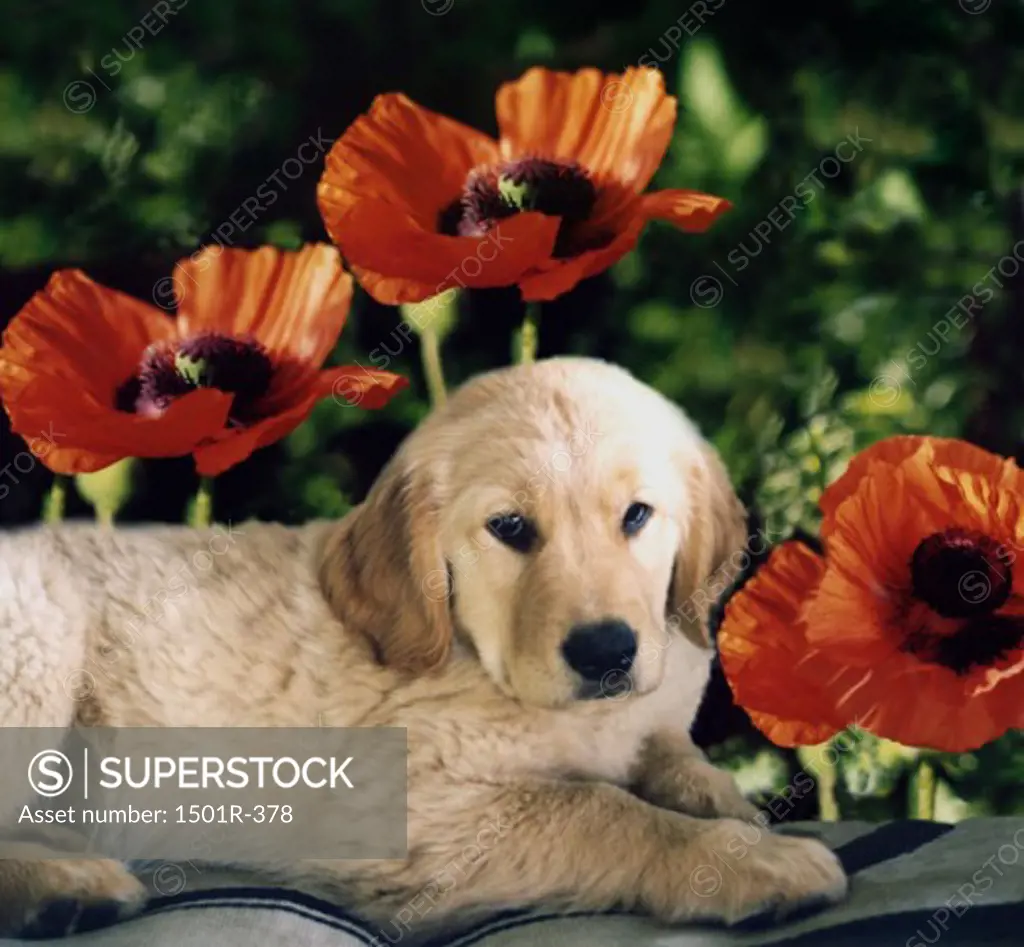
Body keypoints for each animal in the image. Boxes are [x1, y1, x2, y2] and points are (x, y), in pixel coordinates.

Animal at [0, 356, 847, 937]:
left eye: (637, 515)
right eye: (510, 527)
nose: (606, 651)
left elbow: (668, 754)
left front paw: (723, 800)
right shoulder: (428, 816)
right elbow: (601, 808)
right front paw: (748, 858)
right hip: (37, 646)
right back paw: (65, 885)